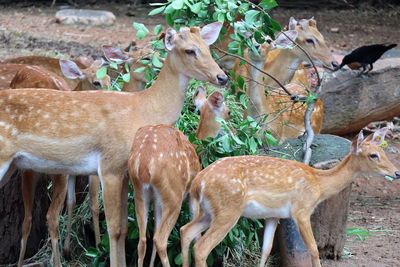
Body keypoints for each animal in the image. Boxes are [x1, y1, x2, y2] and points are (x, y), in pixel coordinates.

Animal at [0, 22, 227, 266]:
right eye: (190, 50)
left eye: (208, 47)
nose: (222, 77)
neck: (142, 109)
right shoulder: (109, 166)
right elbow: (114, 228)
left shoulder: (125, 172)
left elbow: (125, 228)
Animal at [181, 128, 400, 267]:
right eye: (373, 155)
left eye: (383, 151)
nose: (397, 172)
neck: (319, 185)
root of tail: (199, 181)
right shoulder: (301, 210)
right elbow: (313, 249)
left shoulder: (273, 215)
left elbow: (266, 249)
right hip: (228, 210)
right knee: (201, 247)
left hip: (208, 212)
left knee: (185, 231)